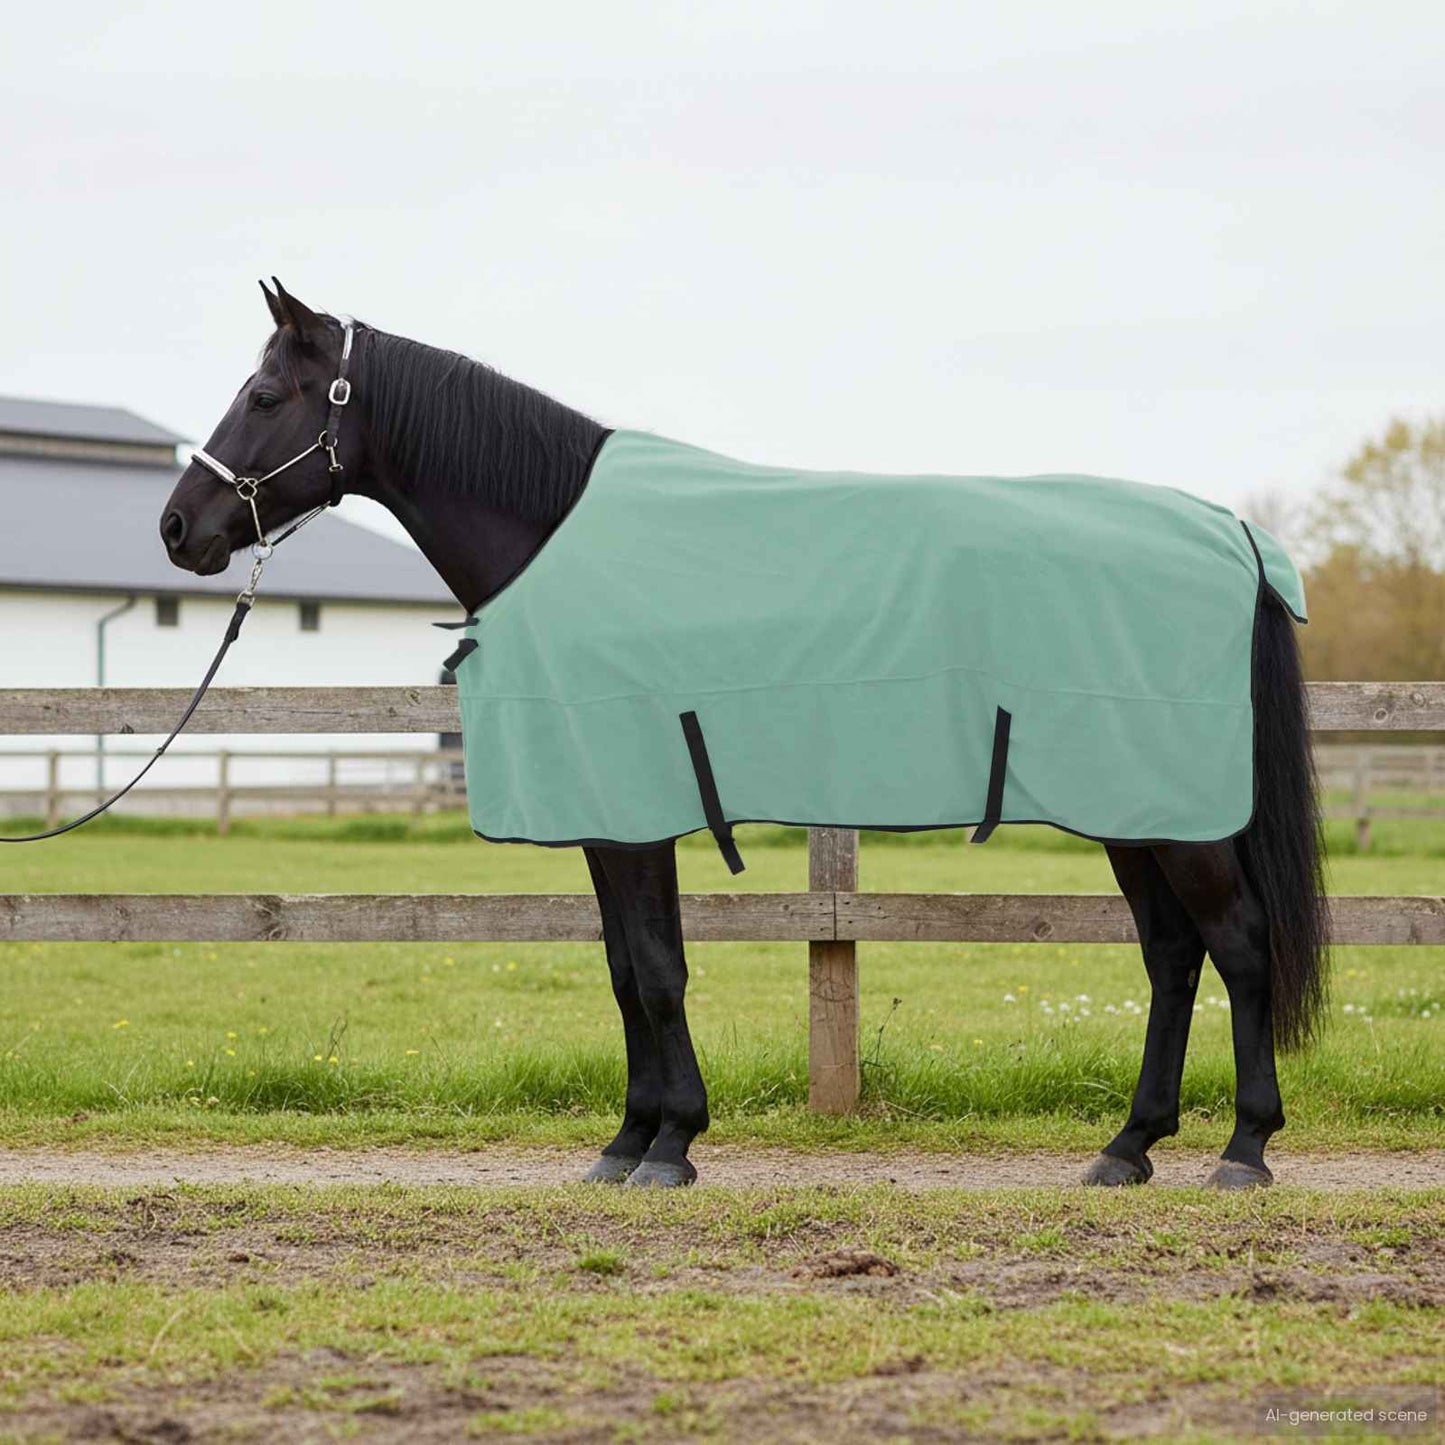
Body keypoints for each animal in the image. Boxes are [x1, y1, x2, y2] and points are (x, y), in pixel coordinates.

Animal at [159, 280, 1328, 1190]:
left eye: (264, 395)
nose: (178, 528)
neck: (560, 538)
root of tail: (1229, 533)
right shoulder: (607, 817)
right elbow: (626, 968)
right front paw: (628, 1139)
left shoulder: (633, 813)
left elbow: (657, 969)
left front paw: (669, 1143)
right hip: (1132, 808)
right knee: (1171, 953)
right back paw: (1127, 1146)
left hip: (1173, 815)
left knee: (1237, 942)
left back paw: (1243, 1148)